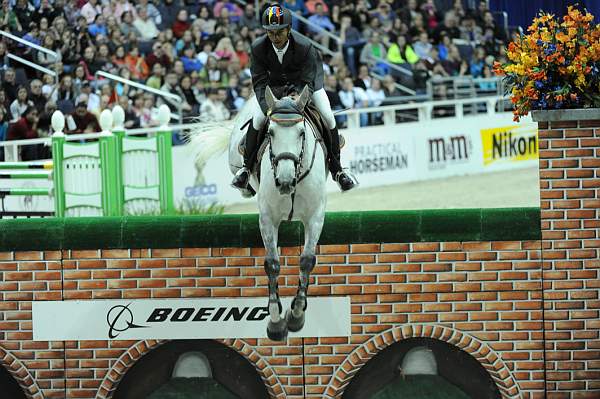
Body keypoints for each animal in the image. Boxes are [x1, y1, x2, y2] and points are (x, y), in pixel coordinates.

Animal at [189, 84, 326, 340]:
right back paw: (243, 182)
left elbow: (306, 260)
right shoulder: (268, 218)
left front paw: (296, 315)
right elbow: (272, 263)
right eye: (270, 133)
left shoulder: (315, 216)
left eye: (301, 133)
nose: (284, 181)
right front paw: (275, 321)